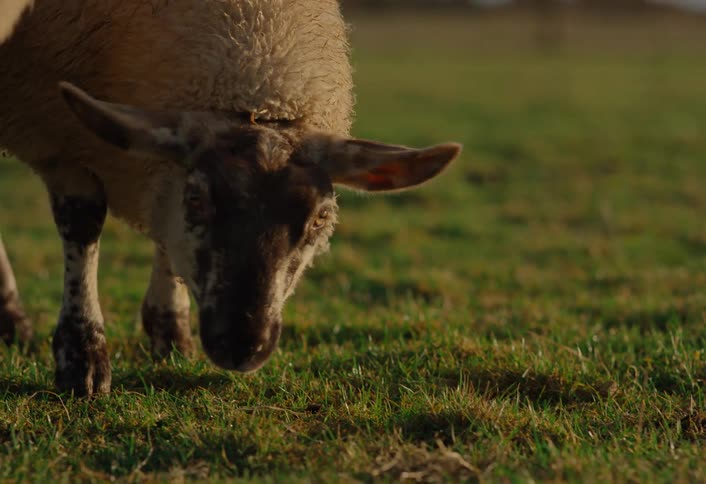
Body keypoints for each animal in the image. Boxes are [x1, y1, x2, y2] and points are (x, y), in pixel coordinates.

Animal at [0, 0, 461, 396]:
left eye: (320, 218)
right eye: (197, 200)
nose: (241, 346)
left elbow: (167, 241)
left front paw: (171, 332)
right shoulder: (57, 136)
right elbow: (83, 223)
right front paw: (82, 357)